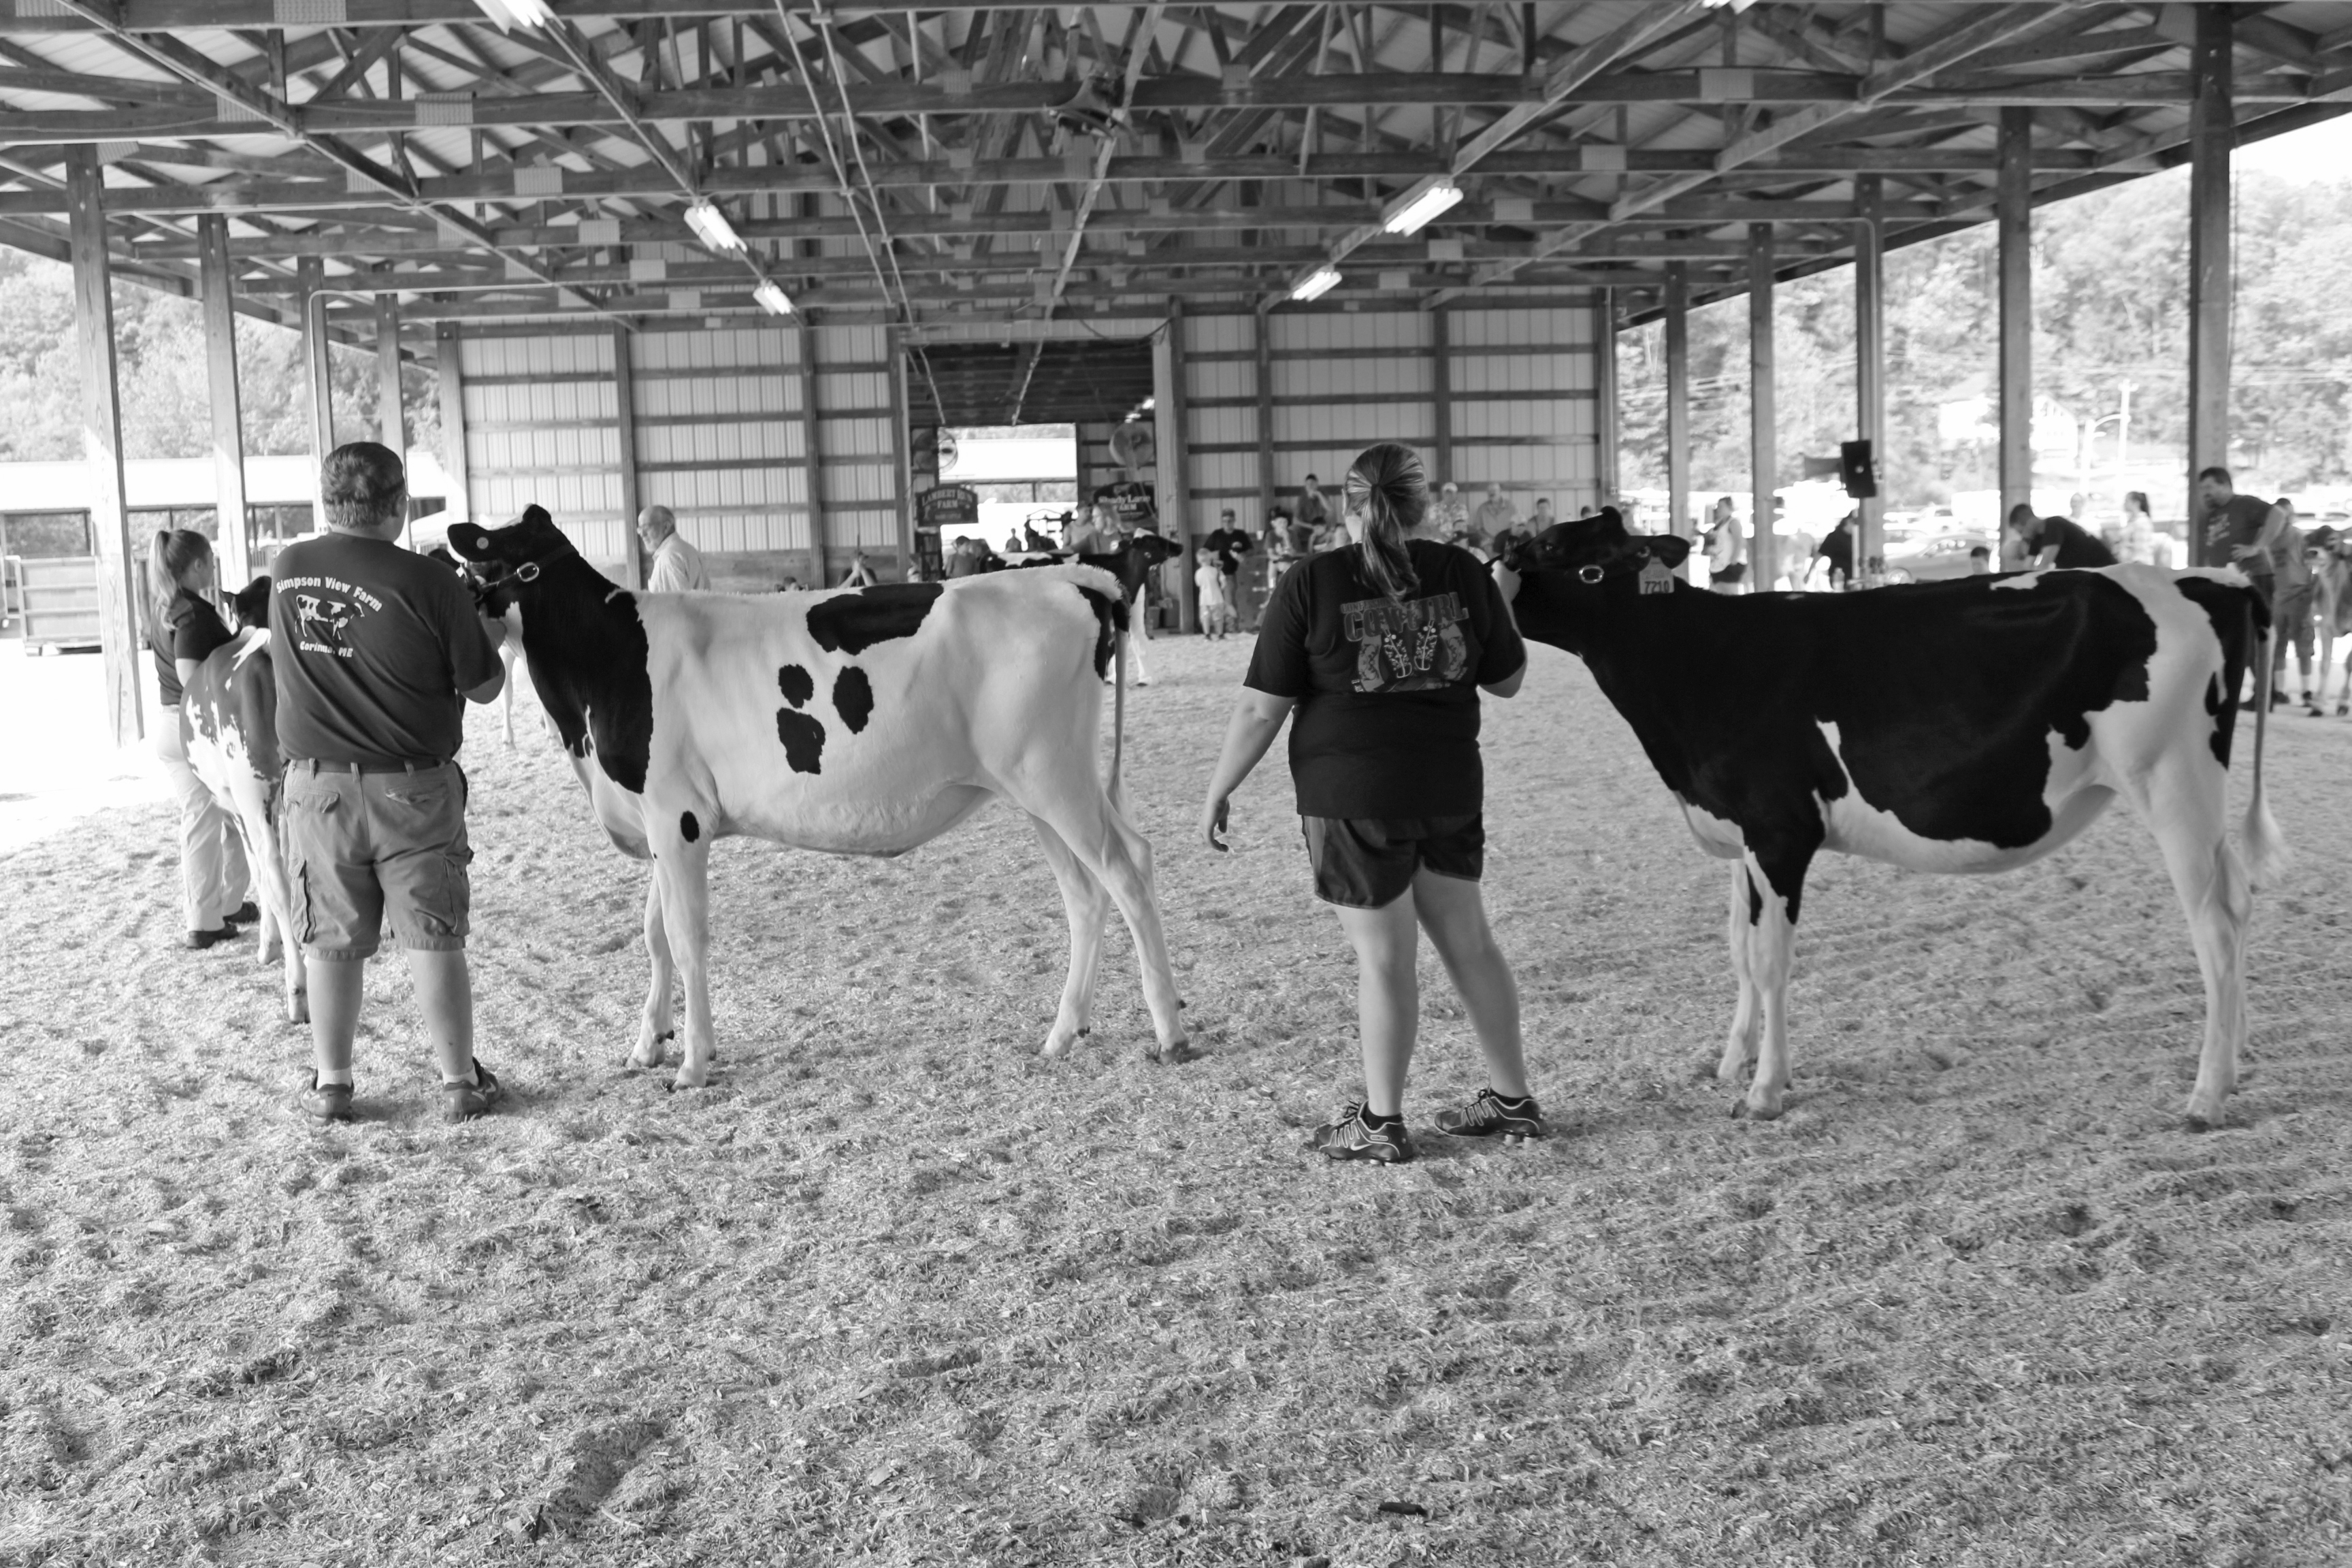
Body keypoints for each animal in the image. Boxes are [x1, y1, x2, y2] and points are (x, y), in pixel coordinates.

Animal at [178, 583, 308, 1025]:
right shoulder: (278, 805)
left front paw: (268, 946)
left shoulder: (239, 806)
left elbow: (258, 871)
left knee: (276, 877)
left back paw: (297, 992)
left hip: (248, 794)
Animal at [444, 510, 1194, 1085]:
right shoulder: (657, 821)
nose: (449, 537)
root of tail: (1074, 577)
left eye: (487, 546)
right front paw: (646, 1045)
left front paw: (692, 1062)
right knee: (1086, 894)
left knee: (1128, 871)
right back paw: (1064, 1033)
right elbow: (655, 938)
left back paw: (1169, 1033)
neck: (608, 663)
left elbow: (685, 938)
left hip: (1057, 777)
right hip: (1036, 790)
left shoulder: (677, 817)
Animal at [1496, 510, 2286, 1132]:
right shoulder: (1743, 835)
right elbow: (1741, 950)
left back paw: (2206, 1096)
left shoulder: (1781, 832)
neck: (1699, 664)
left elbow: (1772, 960)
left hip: (2174, 781)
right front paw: (1731, 1063)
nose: (1496, 555)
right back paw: (2238, 1058)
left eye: (1565, 552)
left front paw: (1764, 1091)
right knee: (2240, 903)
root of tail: (2210, 579)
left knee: (2214, 927)